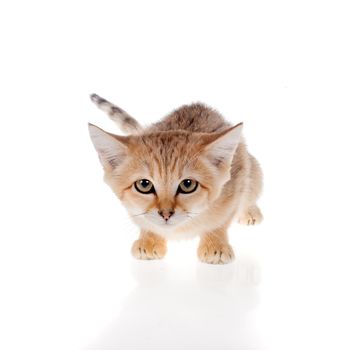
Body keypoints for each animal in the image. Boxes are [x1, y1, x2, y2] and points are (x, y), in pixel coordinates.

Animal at [89, 94, 262, 264]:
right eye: (144, 185)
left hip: (254, 171)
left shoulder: (236, 183)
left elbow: (221, 221)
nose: (165, 214)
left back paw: (250, 211)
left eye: (188, 184)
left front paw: (215, 244)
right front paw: (149, 239)